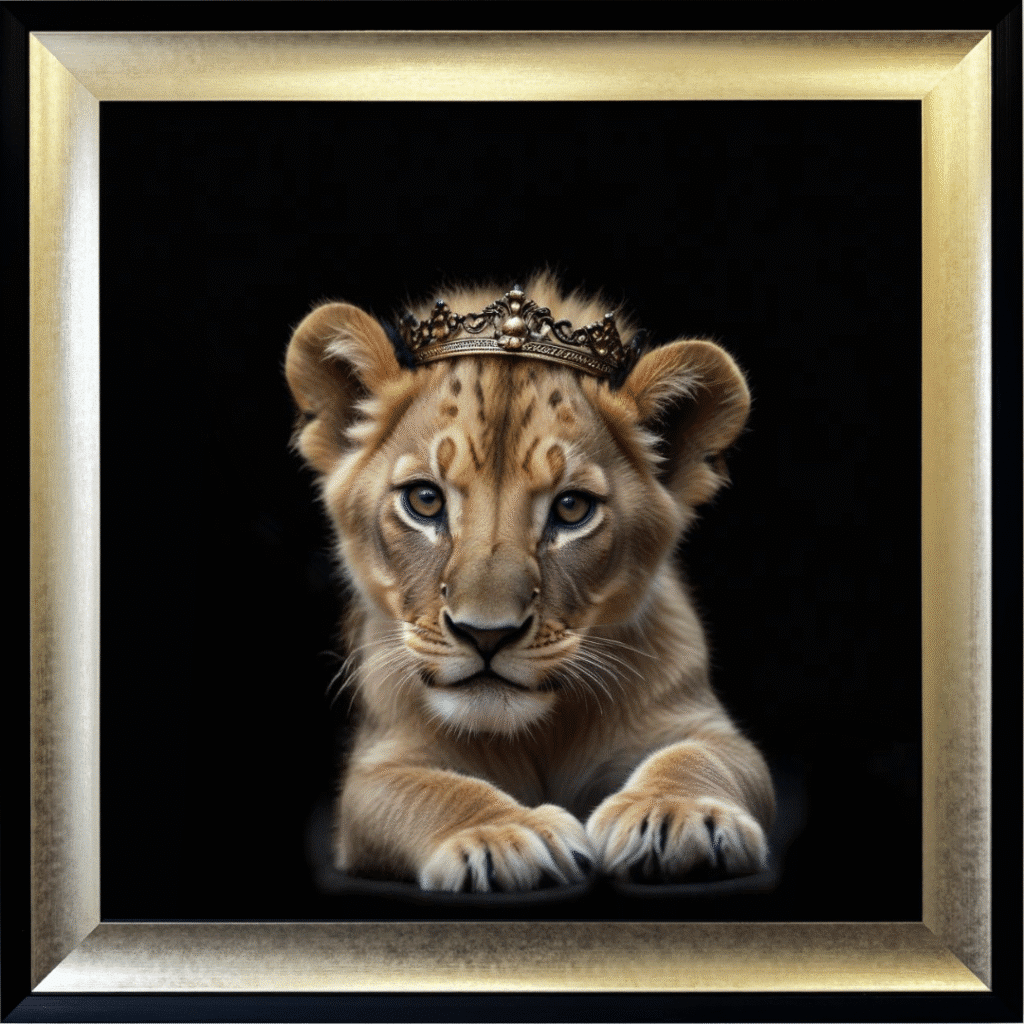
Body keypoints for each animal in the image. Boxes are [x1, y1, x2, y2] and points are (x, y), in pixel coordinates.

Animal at [285, 273, 774, 892]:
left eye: (571, 509)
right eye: (425, 500)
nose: (485, 635)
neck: (537, 734)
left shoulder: (704, 725)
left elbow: (701, 758)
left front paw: (678, 813)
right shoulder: (377, 770)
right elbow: (430, 791)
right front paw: (503, 834)